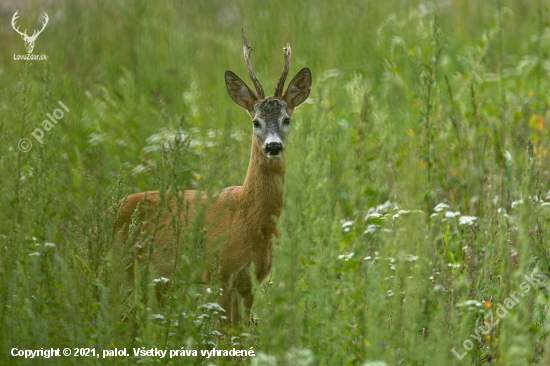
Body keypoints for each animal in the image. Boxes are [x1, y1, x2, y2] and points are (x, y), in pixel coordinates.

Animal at [110, 30, 312, 326]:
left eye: (287, 119)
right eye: (256, 121)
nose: (273, 146)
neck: (249, 216)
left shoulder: (250, 283)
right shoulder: (220, 274)